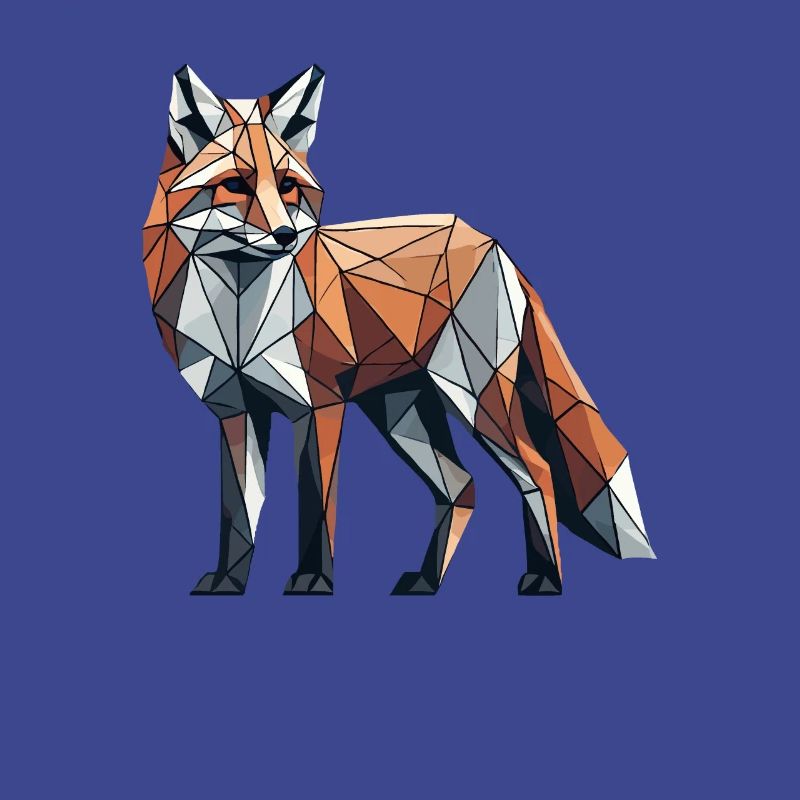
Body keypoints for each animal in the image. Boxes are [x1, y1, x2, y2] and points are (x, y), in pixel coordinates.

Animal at [142, 64, 655, 597]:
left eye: (286, 186)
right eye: (235, 186)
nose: (286, 236)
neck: (241, 320)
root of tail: (490, 240)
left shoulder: (319, 406)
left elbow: (315, 503)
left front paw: (313, 579)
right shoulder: (236, 412)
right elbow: (239, 515)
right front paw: (228, 581)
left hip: (478, 403)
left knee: (540, 472)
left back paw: (546, 578)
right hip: (403, 415)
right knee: (462, 487)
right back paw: (428, 580)